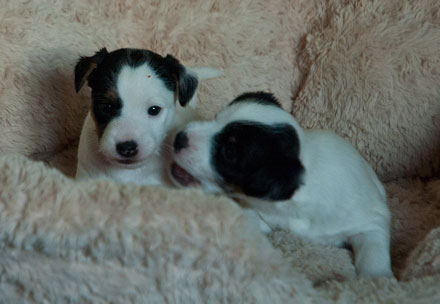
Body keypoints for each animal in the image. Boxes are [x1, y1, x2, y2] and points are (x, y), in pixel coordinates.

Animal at [170, 91, 394, 280]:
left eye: (229, 151)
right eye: (216, 117)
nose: (178, 137)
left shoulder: (371, 219)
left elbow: (373, 249)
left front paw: (377, 279)